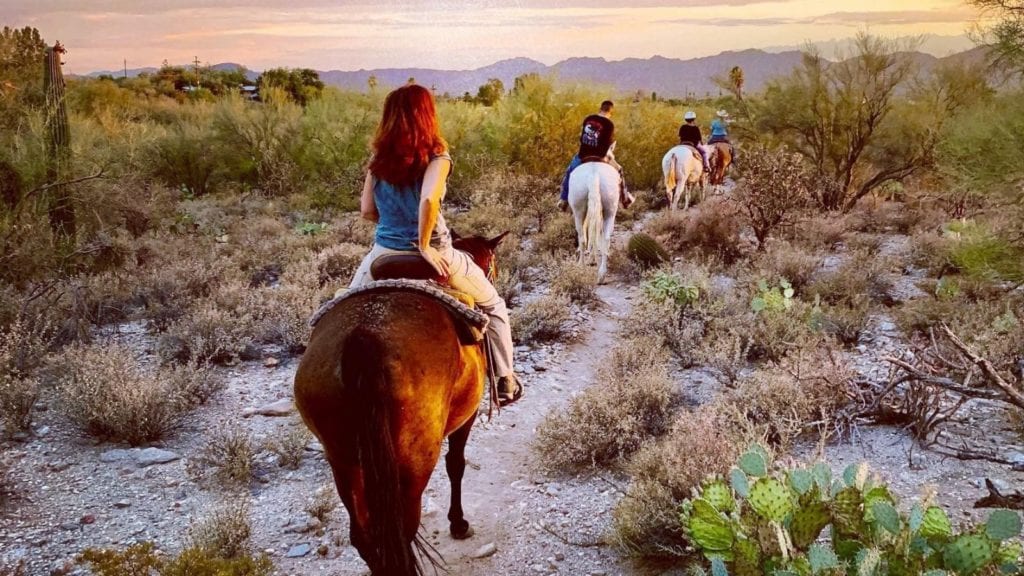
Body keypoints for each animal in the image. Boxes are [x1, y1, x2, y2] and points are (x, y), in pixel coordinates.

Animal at [294, 233, 505, 573]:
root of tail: (363, 339)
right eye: (493, 264)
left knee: (364, 536)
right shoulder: (467, 416)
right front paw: (458, 524)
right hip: (414, 462)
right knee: (404, 530)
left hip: (342, 458)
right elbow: (456, 464)